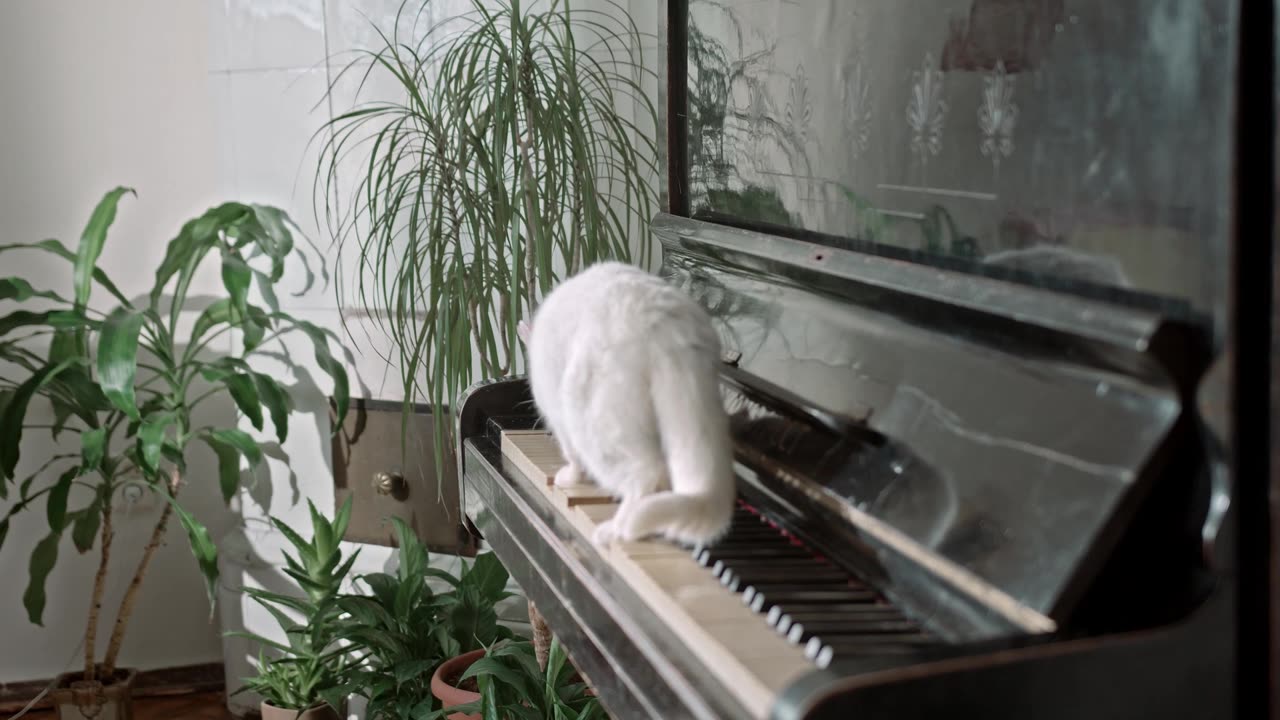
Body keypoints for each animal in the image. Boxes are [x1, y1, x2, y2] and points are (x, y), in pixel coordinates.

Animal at [517, 260, 737, 545]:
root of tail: (663, 326)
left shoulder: (558, 418)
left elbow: (572, 455)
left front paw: (570, 478)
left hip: (593, 419)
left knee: (647, 474)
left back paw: (617, 530)